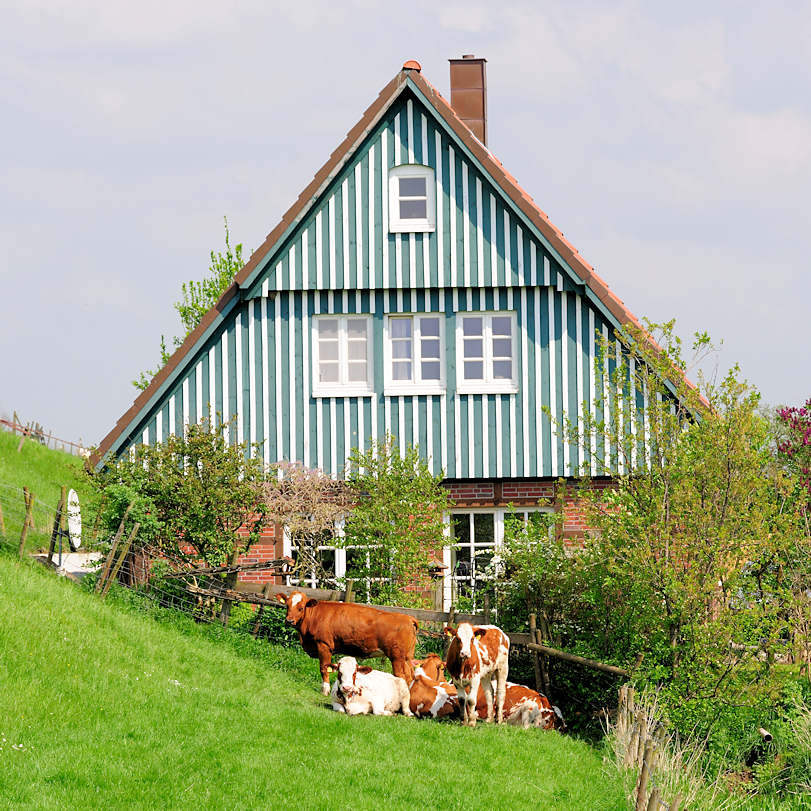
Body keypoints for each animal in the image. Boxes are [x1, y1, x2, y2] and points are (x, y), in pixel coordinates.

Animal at [278, 588, 418, 696]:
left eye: (301, 608)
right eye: (287, 606)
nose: (289, 620)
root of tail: (408, 618)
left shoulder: (323, 645)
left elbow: (324, 668)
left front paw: (325, 690)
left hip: (397, 657)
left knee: (402, 676)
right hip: (407, 657)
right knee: (411, 676)